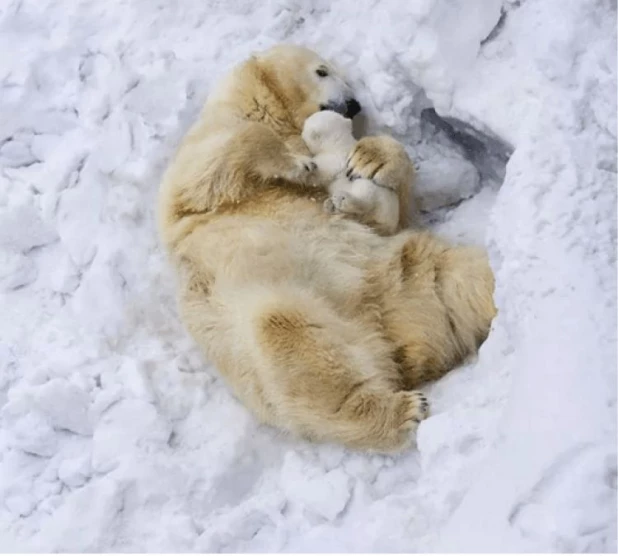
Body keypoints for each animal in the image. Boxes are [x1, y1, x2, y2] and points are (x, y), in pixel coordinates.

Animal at [159, 43, 496, 452]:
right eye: (322, 71)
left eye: (345, 78)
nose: (353, 104)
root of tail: (394, 339)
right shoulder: (202, 153)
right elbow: (214, 164)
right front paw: (298, 164)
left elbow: (392, 214)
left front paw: (371, 158)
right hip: (285, 309)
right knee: (288, 333)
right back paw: (400, 410)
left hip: (411, 274)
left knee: (468, 277)